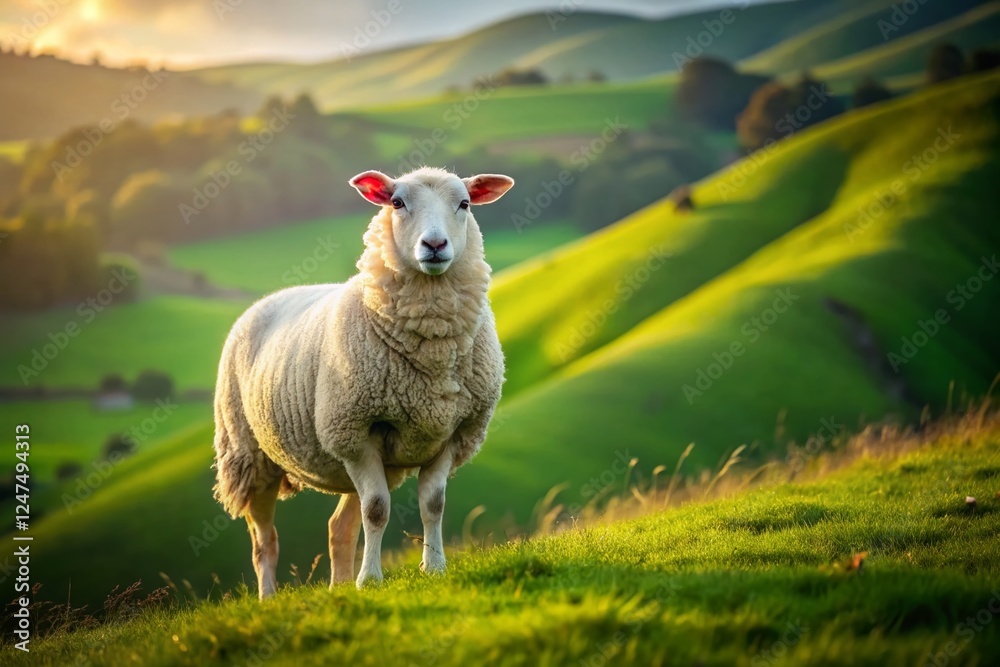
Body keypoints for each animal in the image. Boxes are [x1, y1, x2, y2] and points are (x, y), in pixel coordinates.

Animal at [212, 166, 513, 595]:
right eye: (397, 203)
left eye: (465, 204)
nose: (435, 244)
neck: (433, 351)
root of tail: (267, 299)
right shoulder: (354, 433)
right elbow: (377, 510)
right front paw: (370, 579)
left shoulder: (452, 432)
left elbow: (432, 505)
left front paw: (434, 568)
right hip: (251, 454)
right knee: (264, 541)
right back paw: (269, 597)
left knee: (339, 526)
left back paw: (338, 587)